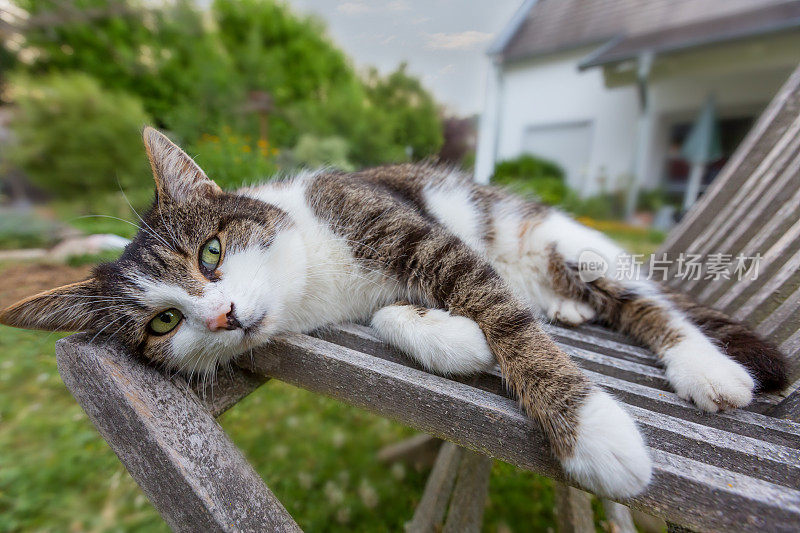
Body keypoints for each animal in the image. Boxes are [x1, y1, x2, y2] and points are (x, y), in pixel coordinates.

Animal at [1, 128, 788, 498]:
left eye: (212, 252)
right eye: (161, 323)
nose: (222, 317)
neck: (314, 277)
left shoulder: (412, 230)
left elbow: (502, 313)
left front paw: (589, 429)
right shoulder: (363, 300)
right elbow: (400, 317)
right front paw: (459, 341)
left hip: (568, 241)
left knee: (651, 308)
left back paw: (705, 367)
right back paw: (565, 309)